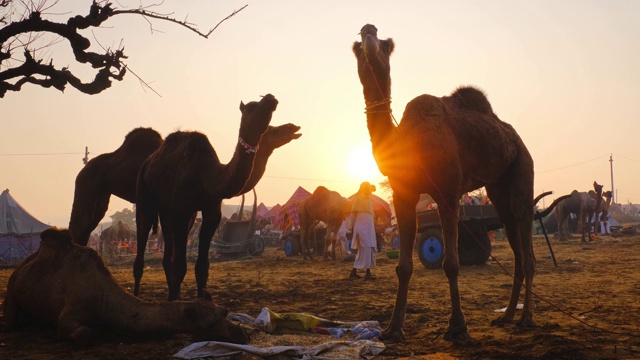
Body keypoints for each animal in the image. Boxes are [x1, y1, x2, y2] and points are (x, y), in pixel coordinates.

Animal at [3, 228, 250, 346]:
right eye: (209, 324)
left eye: (225, 311)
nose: (242, 334)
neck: (102, 297)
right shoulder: (70, 312)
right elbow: (82, 332)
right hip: (12, 290)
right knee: (12, 320)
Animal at [135, 93, 280, 300]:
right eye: (251, 107)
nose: (270, 97)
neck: (207, 175)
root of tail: (148, 163)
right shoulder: (181, 210)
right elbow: (180, 266)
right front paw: (178, 300)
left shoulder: (211, 211)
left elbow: (202, 266)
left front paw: (200, 296)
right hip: (144, 197)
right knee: (143, 237)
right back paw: (137, 294)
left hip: (170, 210)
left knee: (167, 253)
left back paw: (171, 293)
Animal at [352, 24, 536, 340]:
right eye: (356, 46)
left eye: (386, 45)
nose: (368, 31)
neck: (408, 140)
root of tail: (514, 137)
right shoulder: (403, 194)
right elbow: (403, 266)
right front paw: (393, 328)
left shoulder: (447, 191)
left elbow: (451, 263)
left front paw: (457, 325)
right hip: (498, 186)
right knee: (512, 235)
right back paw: (507, 316)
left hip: (523, 166)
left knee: (525, 233)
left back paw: (526, 318)